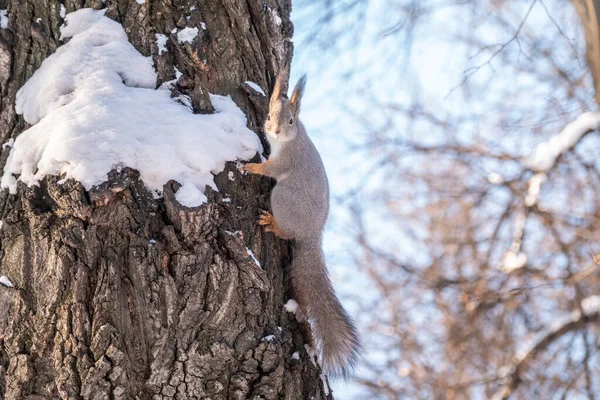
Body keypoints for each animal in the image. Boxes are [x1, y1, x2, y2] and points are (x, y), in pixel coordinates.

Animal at [240, 73, 360, 376]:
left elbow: (272, 168)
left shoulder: (287, 160)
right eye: (269, 115)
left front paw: (253, 167)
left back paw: (273, 223)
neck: (290, 140)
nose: (275, 131)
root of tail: (312, 234)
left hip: (282, 198)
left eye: (291, 121)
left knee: (285, 228)